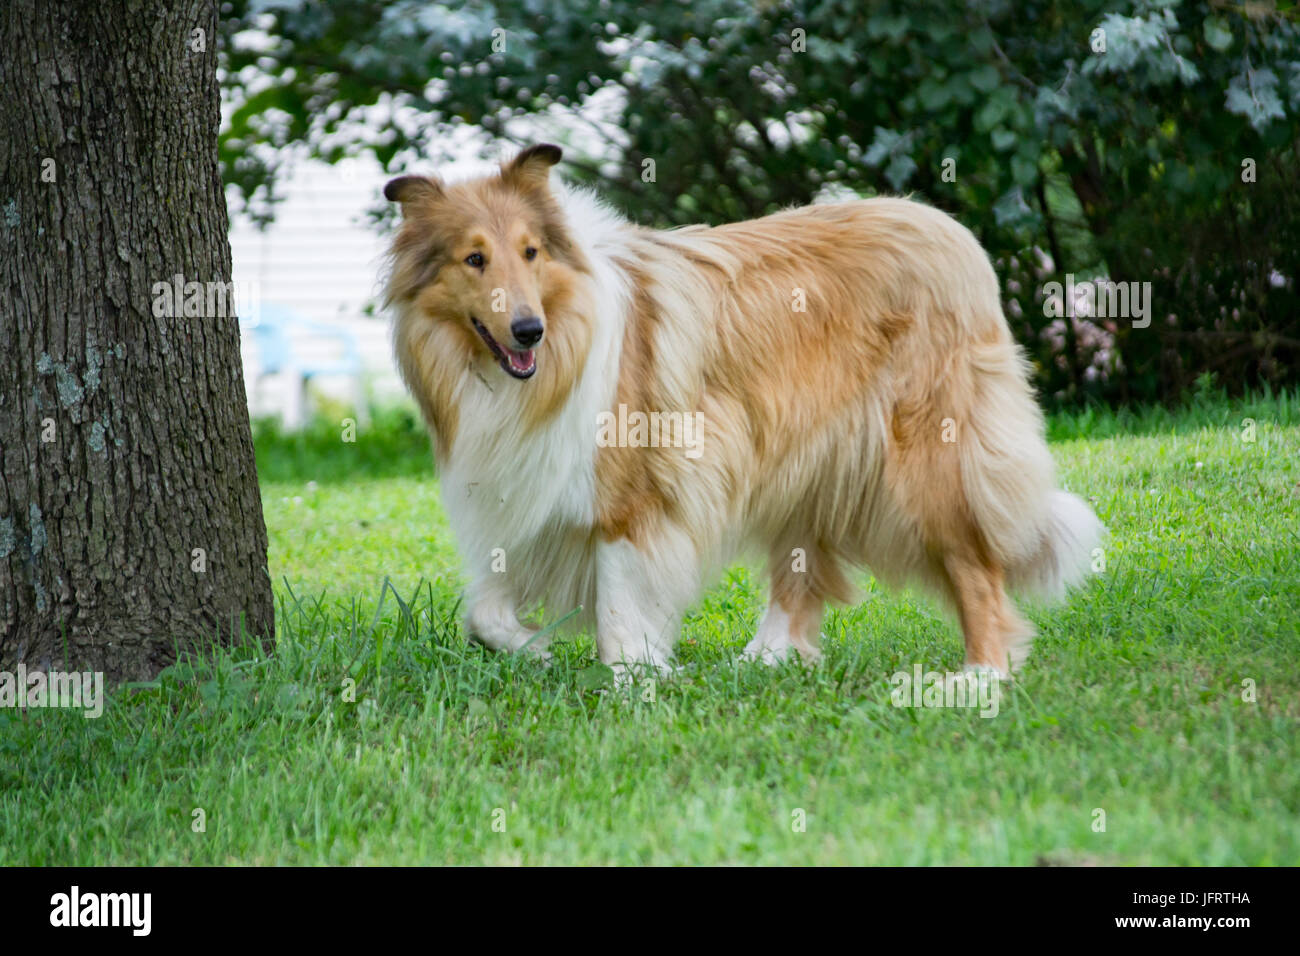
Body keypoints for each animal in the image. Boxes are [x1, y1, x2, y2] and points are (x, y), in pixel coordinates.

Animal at [379, 145, 1102, 676]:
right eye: (474, 258)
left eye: (531, 252)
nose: (529, 331)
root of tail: (952, 232)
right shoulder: (525, 497)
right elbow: (484, 613)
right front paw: (537, 648)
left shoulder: (629, 498)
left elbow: (618, 604)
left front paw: (634, 681)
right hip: (806, 453)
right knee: (801, 568)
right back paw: (765, 659)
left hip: (927, 459)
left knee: (976, 568)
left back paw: (979, 676)